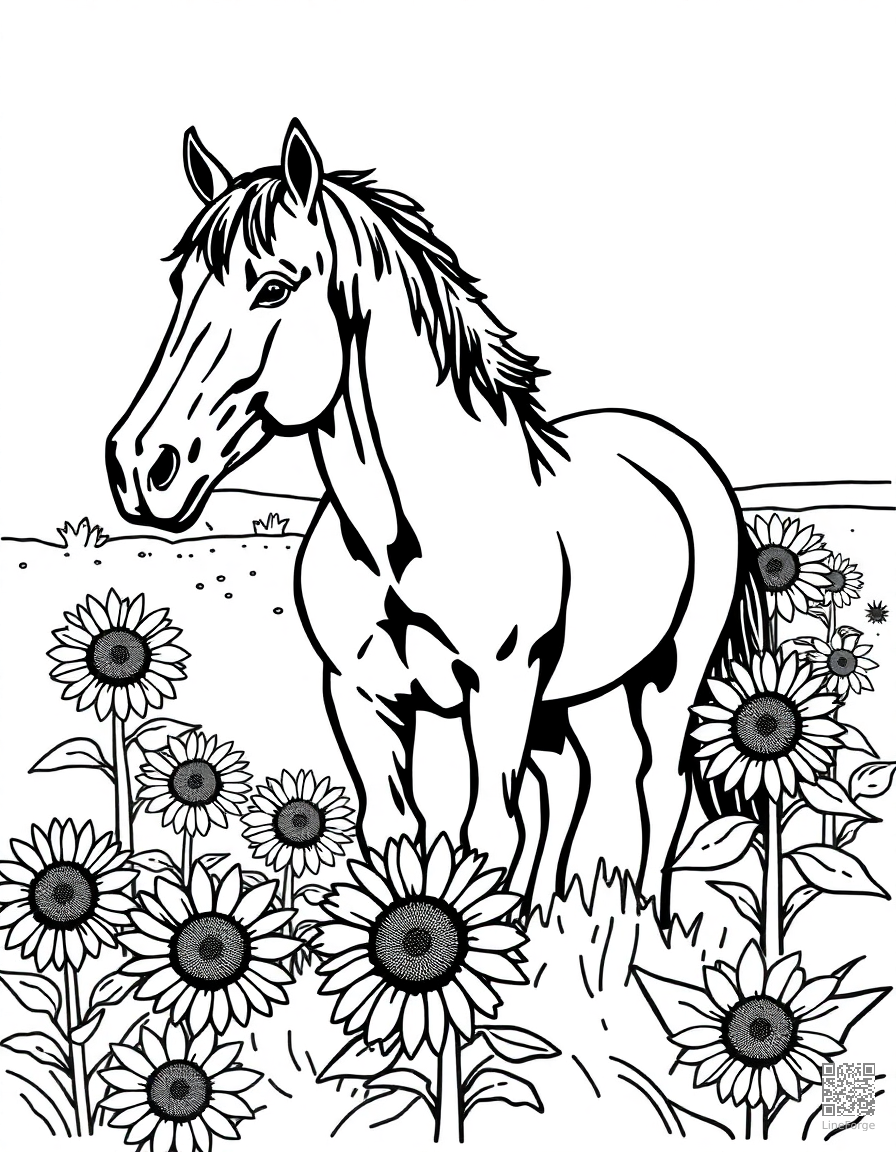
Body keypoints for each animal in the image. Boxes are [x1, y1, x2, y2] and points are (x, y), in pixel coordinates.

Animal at [107, 117, 764, 922]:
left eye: (272, 288)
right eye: (180, 286)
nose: (139, 466)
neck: (400, 537)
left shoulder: (500, 687)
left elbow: (487, 831)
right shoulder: (362, 694)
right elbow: (395, 828)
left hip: (670, 676)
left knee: (656, 789)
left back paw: (646, 919)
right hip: (580, 692)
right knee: (577, 783)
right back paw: (557, 913)